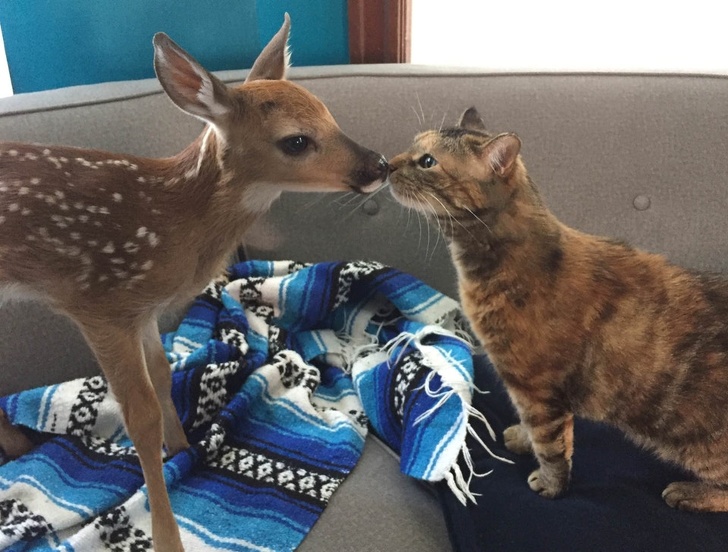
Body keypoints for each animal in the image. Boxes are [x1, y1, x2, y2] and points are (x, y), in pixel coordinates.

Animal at [0, 15, 390, 548]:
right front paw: (167, 534)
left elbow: (165, 374)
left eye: (331, 116)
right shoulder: (100, 304)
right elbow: (139, 417)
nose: (380, 166)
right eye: (295, 140)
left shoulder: (142, 310)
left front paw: (184, 450)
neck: (169, 221)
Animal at [390, 108, 728, 512]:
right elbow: (536, 429)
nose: (386, 163)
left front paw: (550, 484)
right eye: (411, 145)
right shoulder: (530, 393)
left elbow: (551, 447)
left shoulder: (536, 389)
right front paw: (522, 438)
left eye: (427, 161)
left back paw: (689, 493)